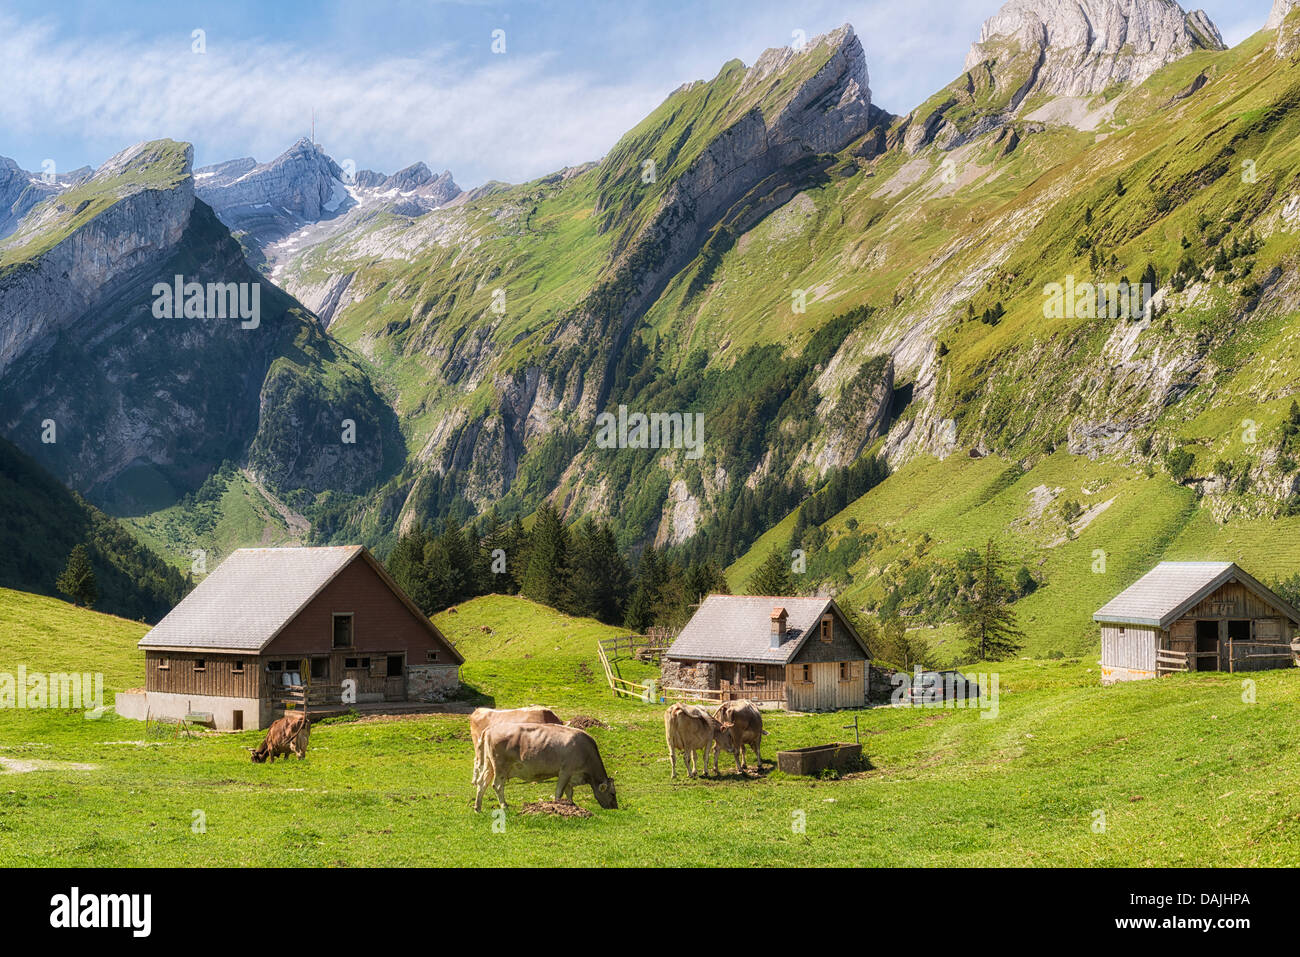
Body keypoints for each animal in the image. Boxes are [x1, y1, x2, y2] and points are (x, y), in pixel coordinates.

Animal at [478, 722, 618, 811]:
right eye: (612, 794)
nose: (615, 807)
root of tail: (491, 728)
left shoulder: (571, 775)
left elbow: (569, 792)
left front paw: (572, 805)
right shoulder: (565, 771)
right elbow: (559, 792)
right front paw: (558, 806)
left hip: (489, 766)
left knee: (481, 783)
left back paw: (477, 808)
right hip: (501, 767)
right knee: (497, 786)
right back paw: (504, 806)